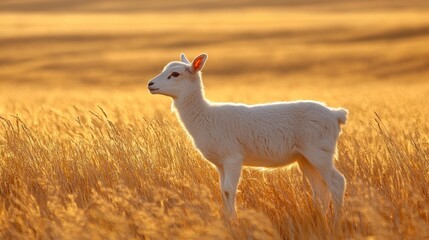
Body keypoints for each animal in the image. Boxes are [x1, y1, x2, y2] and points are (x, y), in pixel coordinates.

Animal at [147, 53, 348, 221]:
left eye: (175, 74)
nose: (150, 84)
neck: (204, 116)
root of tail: (336, 114)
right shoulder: (220, 163)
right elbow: (223, 190)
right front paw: (227, 220)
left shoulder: (233, 157)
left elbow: (230, 189)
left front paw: (234, 221)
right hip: (305, 158)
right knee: (321, 191)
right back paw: (321, 220)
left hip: (319, 152)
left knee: (337, 183)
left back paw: (336, 222)